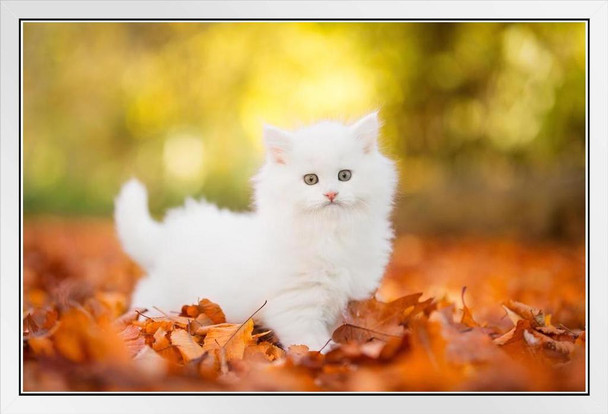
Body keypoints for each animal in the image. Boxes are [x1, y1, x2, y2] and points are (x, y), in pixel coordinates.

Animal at [114, 111, 400, 350]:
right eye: (311, 180)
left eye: (344, 176)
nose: (331, 194)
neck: (329, 234)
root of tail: (168, 235)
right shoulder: (297, 308)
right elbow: (312, 344)